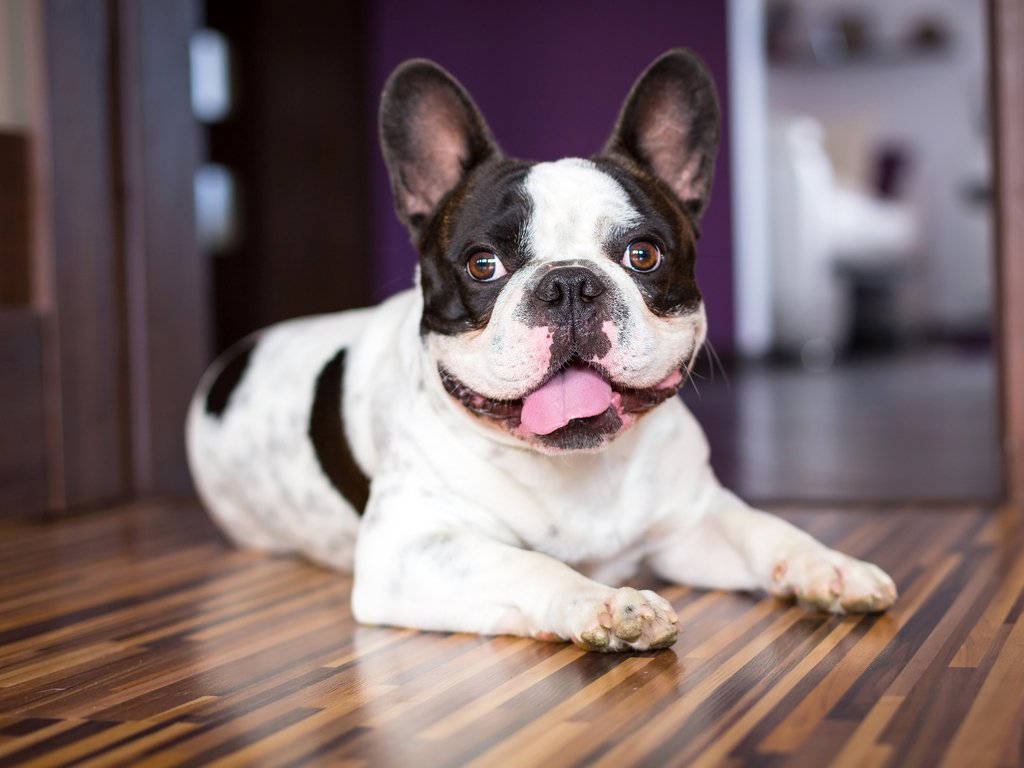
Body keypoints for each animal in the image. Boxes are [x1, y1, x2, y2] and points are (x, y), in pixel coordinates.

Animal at [186, 48, 897, 651]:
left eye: (644, 255)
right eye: (483, 265)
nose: (570, 283)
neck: (577, 469)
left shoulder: (692, 522)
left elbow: (765, 528)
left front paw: (829, 566)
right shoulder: (411, 550)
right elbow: (528, 565)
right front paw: (604, 603)